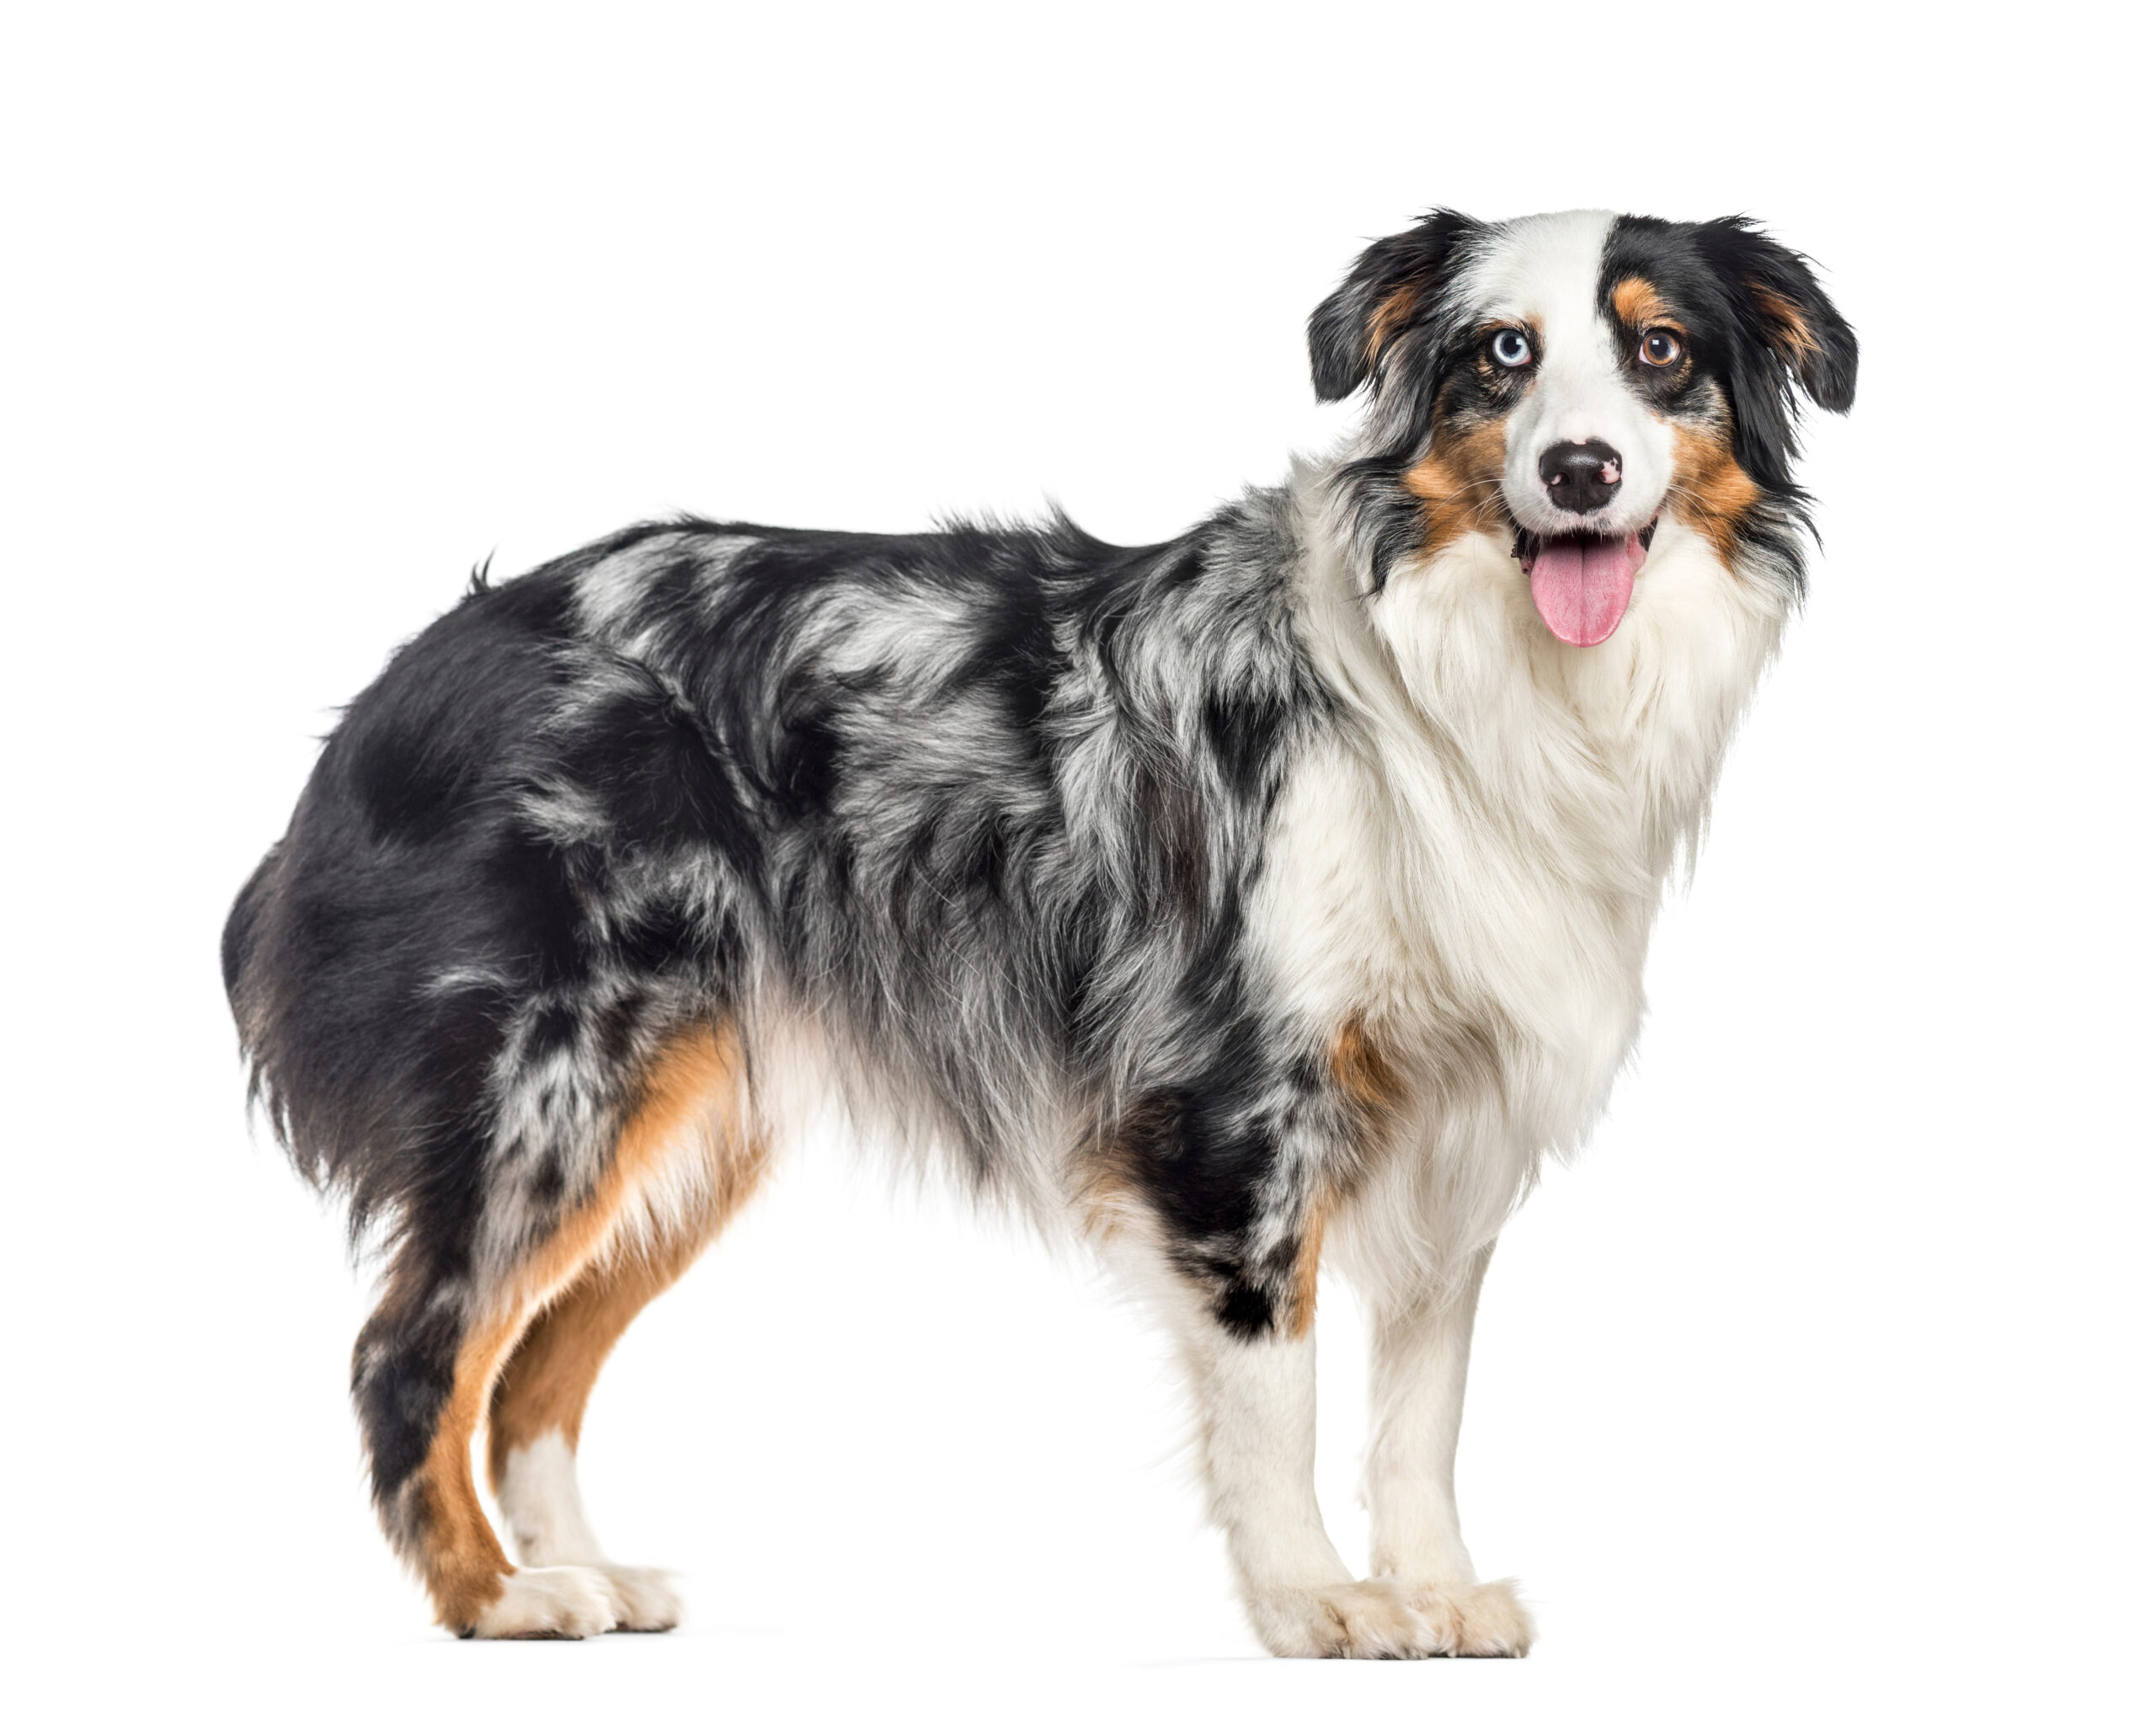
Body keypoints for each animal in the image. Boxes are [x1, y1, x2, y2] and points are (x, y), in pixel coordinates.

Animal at [232, 205, 1854, 1647]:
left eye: (1659, 350)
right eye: (1501, 355)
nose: (1580, 471)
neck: (1475, 684)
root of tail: (408, 675)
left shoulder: (1463, 1114)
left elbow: (1423, 1406)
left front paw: (1436, 1588)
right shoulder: (1234, 1108)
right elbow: (1279, 1388)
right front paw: (1317, 1603)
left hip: (687, 1111)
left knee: (529, 1371)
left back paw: (581, 1575)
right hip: (552, 1081)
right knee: (414, 1350)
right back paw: (497, 1599)